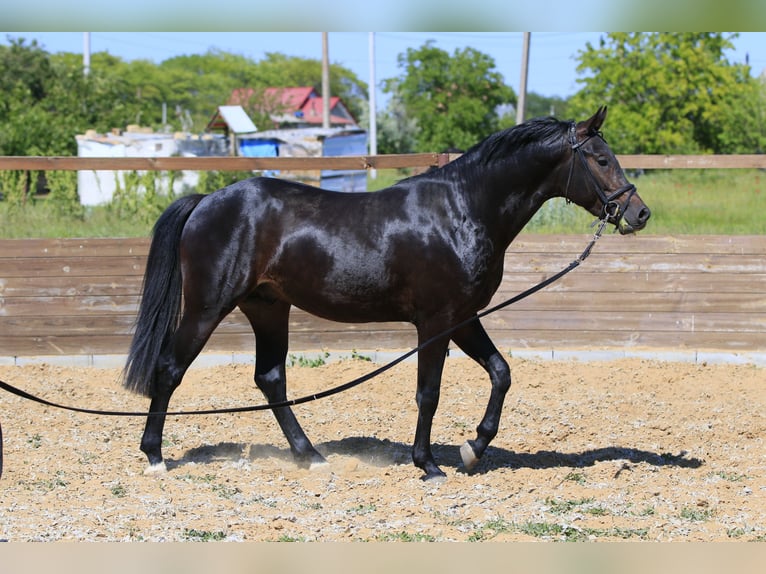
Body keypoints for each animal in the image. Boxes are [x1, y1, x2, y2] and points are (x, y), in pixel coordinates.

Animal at [126, 107, 656, 482]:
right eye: (601, 159)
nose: (640, 213)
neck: (464, 209)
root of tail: (206, 202)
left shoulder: (464, 317)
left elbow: (501, 374)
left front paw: (472, 449)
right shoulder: (436, 321)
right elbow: (429, 392)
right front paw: (428, 464)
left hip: (269, 308)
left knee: (270, 379)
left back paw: (311, 456)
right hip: (207, 306)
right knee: (170, 370)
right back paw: (155, 456)